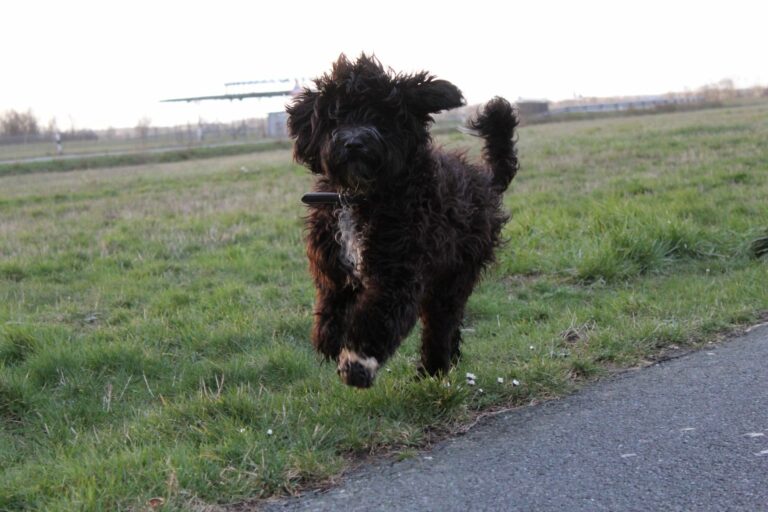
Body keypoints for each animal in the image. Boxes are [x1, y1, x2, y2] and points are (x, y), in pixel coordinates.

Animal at [284, 53, 520, 388]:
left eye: (380, 118)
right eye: (335, 117)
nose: (353, 143)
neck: (360, 196)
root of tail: (485, 180)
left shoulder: (397, 271)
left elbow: (377, 318)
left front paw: (357, 362)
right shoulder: (333, 265)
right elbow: (331, 302)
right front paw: (328, 338)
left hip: (454, 274)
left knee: (440, 323)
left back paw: (432, 367)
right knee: (449, 325)